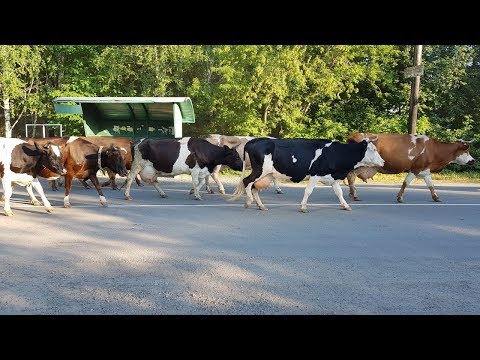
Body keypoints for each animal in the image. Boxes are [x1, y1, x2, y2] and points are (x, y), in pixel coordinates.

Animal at [231, 137, 384, 211]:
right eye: (374, 149)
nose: (383, 161)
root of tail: (253, 140)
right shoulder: (315, 174)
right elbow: (308, 191)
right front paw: (303, 207)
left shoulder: (333, 177)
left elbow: (339, 193)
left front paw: (346, 206)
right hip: (259, 170)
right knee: (247, 182)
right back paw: (249, 202)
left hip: (267, 174)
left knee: (254, 187)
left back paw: (261, 206)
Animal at [346, 131, 474, 201]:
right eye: (467, 151)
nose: (473, 160)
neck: (433, 150)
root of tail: (353, 135)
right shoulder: (415, 168)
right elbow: (405, 183)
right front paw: (399, 197)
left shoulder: (425, 169)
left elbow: (431, 185)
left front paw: (436, 197)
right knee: (351, 177)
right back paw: (354, 195)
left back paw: (353, 194)